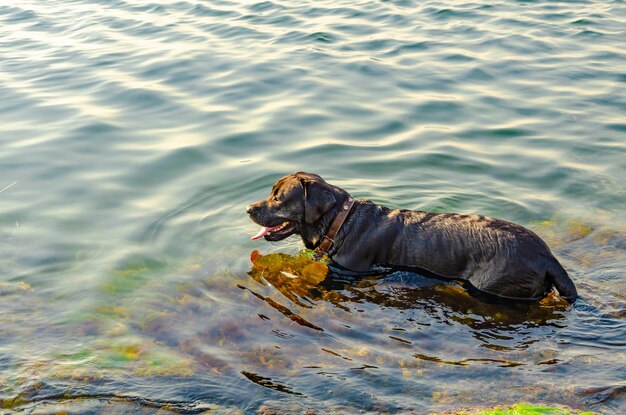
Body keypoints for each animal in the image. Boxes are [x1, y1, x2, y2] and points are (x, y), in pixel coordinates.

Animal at [246, 172, 576, 302]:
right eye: (272, 193)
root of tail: (547, 255)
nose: (248, 208)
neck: (340, 223)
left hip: (495, 283)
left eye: (278, 198)